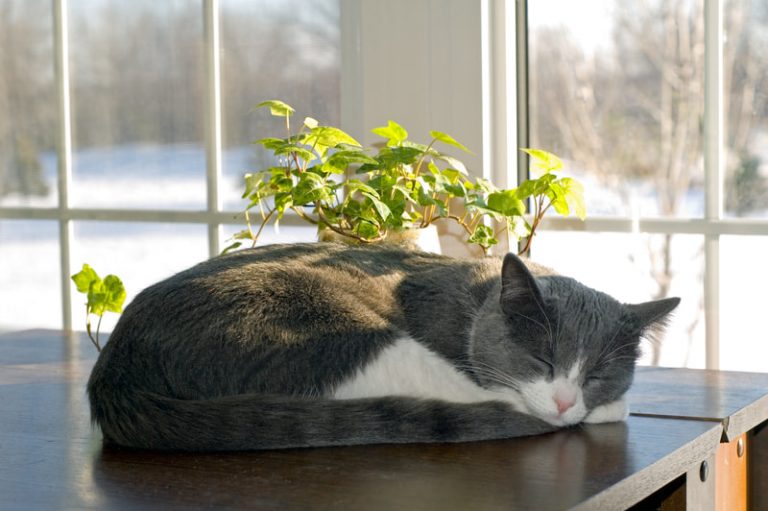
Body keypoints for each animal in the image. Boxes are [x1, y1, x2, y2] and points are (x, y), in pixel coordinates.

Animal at [87, 244, 680, 452]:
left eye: (596, 374)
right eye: (542, 360)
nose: (565, 400)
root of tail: (114, 371)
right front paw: (604, 409)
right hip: (324, 326)